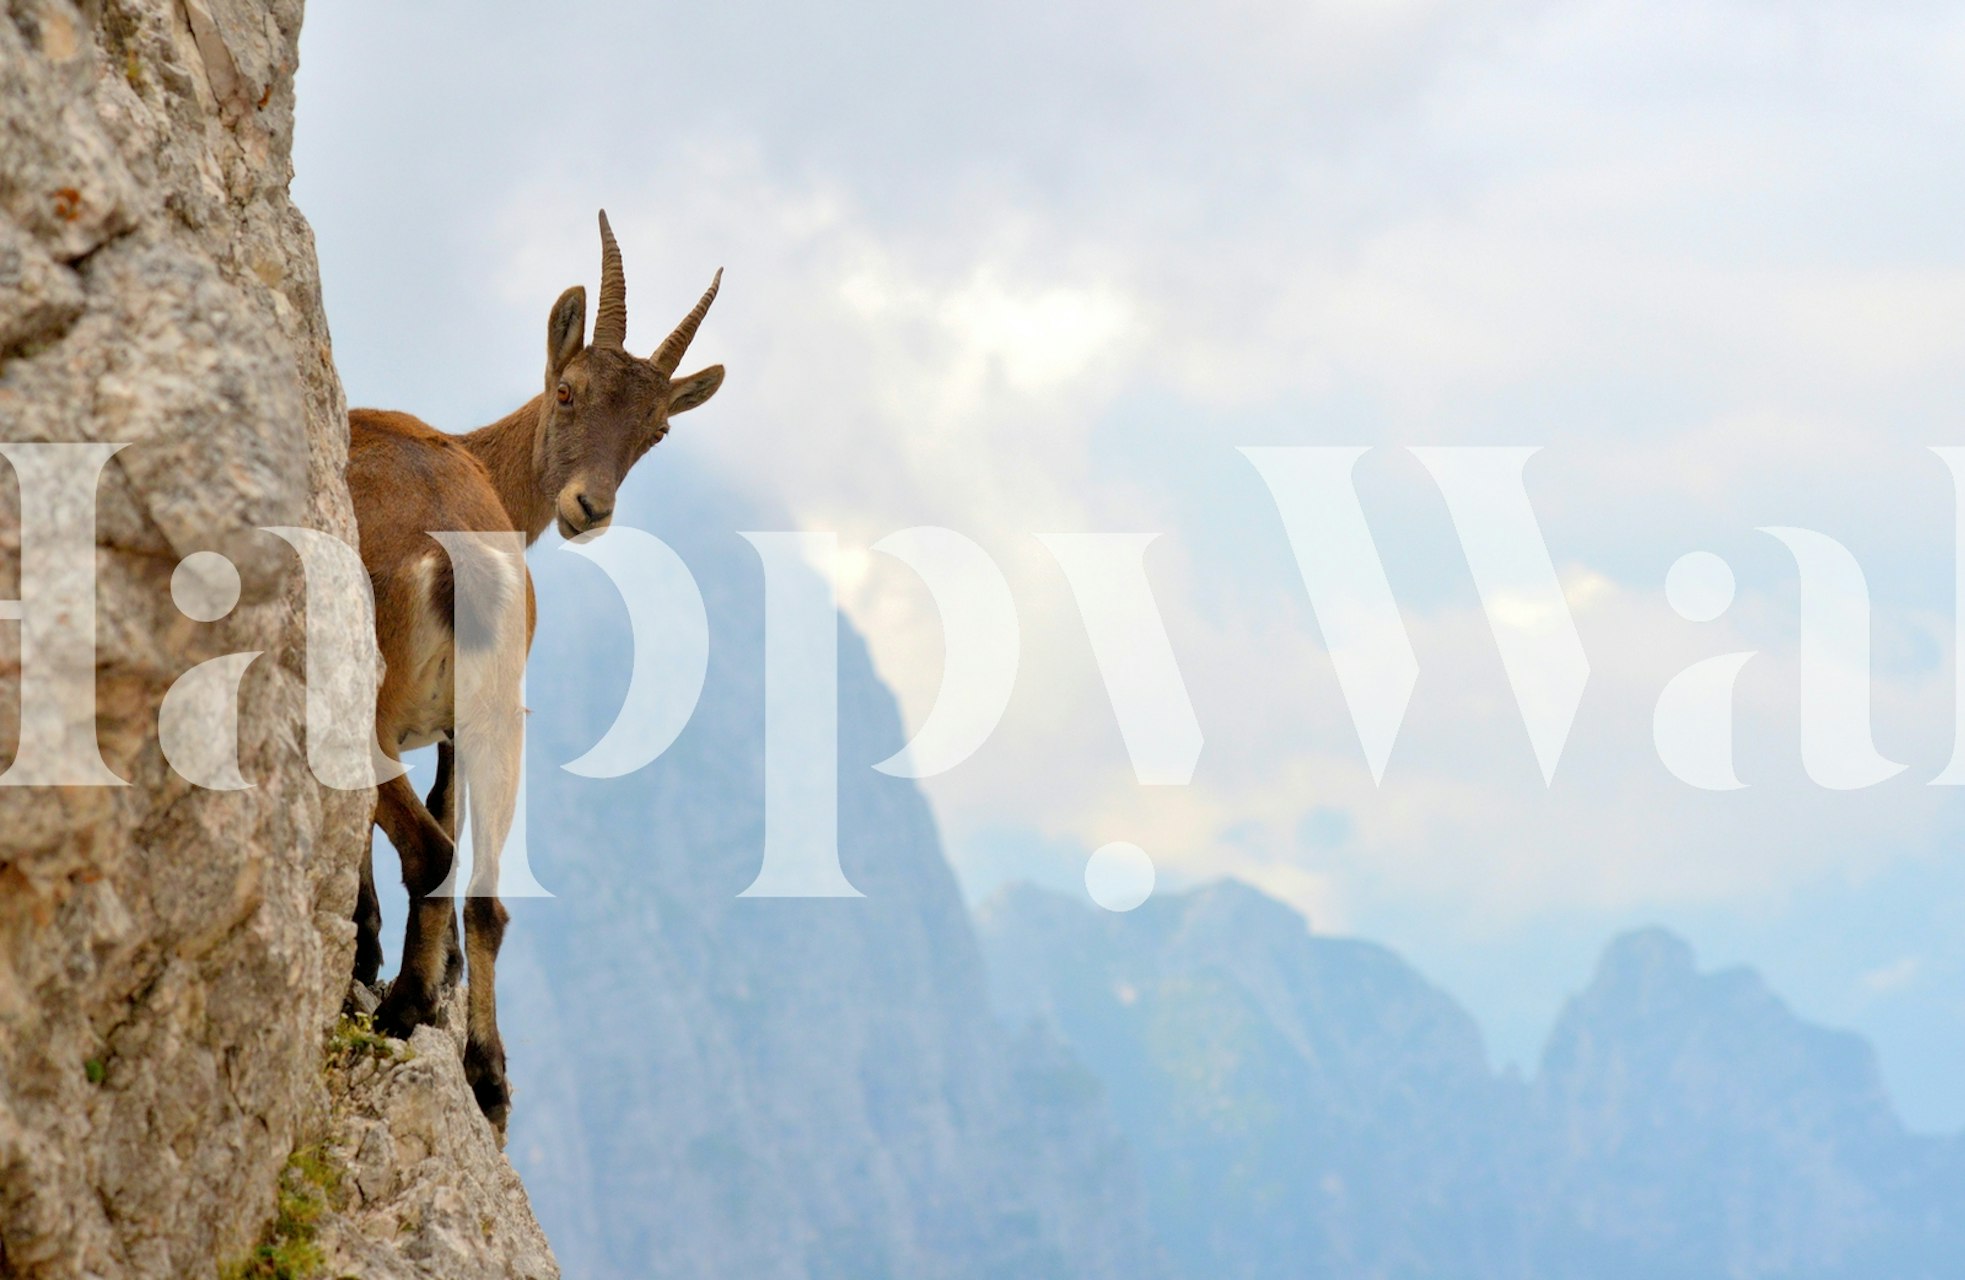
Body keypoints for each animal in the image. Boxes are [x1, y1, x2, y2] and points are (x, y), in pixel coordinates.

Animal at [345, 211, 723, 1134]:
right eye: (569, 392)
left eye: (656, 429)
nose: (590, 506)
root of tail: (456, 566)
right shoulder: (452, 729)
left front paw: (372, 954)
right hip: (499, 717)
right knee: (486, 894)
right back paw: (485, 1076)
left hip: (367, 701)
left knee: (431, 851)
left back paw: (403, 1011)